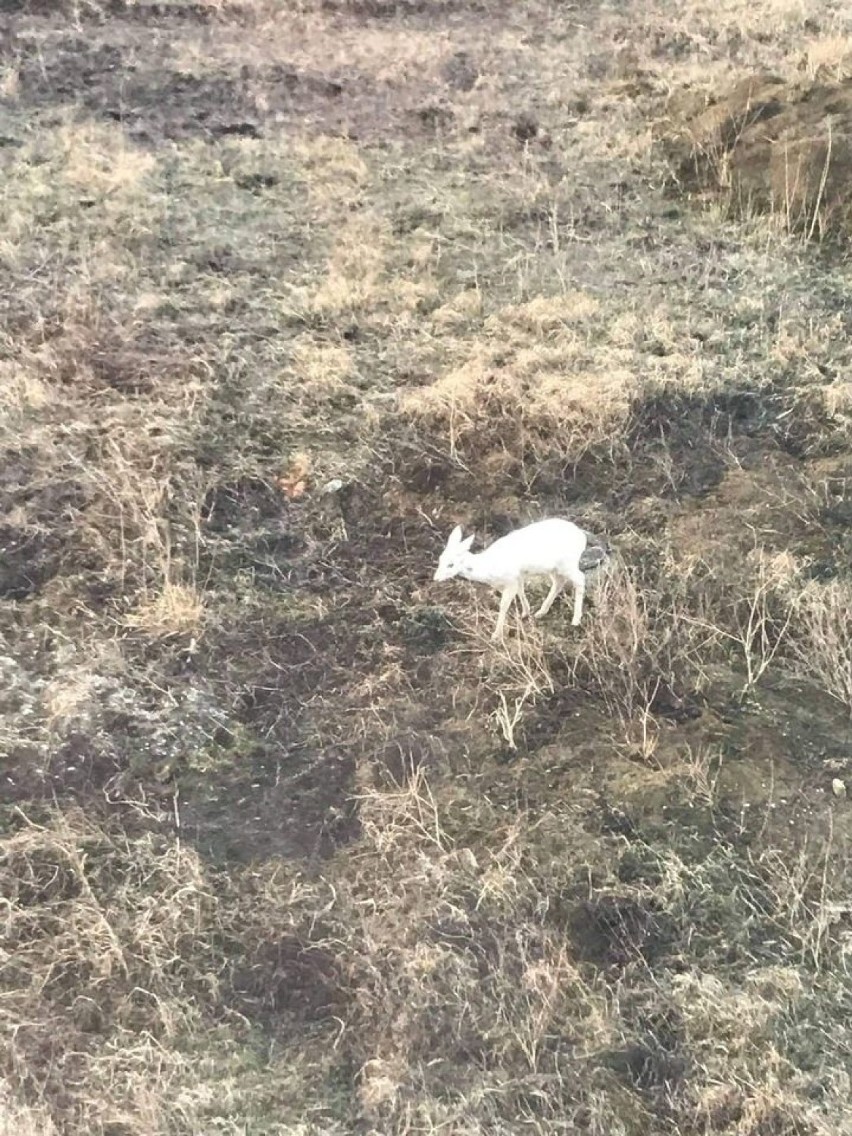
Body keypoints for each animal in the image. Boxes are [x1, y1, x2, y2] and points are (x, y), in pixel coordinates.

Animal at [433, 515, 608, 640]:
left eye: (451, 564)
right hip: (555, 568)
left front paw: (496, 635)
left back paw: (575, 620)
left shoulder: (510, 579)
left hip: (568, 563)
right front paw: (526, 612)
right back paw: (541, 612)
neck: (489, 569)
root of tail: (582, 536)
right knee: (558, 582)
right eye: (440, 558)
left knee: (580, 579)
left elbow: (504, 605)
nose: (435, 578)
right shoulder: (517, 576)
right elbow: (521, 591)